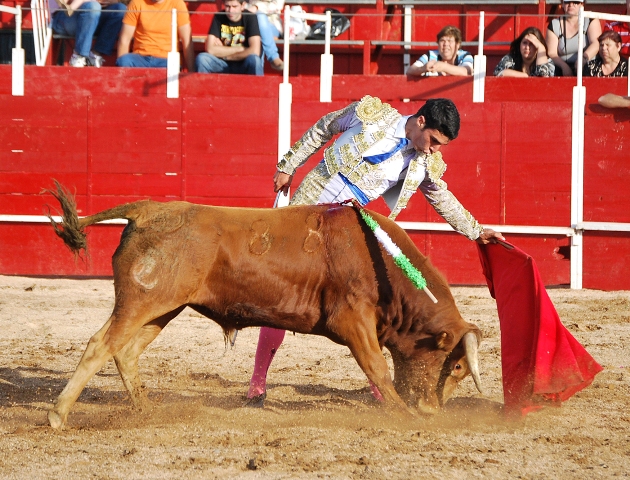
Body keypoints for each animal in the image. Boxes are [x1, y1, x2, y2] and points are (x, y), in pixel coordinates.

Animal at [45, 182, 484, 430]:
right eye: (457, 366)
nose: (431, 410)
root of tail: (148, 209)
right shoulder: (353, 320)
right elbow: (377, 366)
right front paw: (402, 415)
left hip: (164, 306)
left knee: (126, 351)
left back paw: (145, 409)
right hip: (141, 302)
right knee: (101, 345)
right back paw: (57, 416)